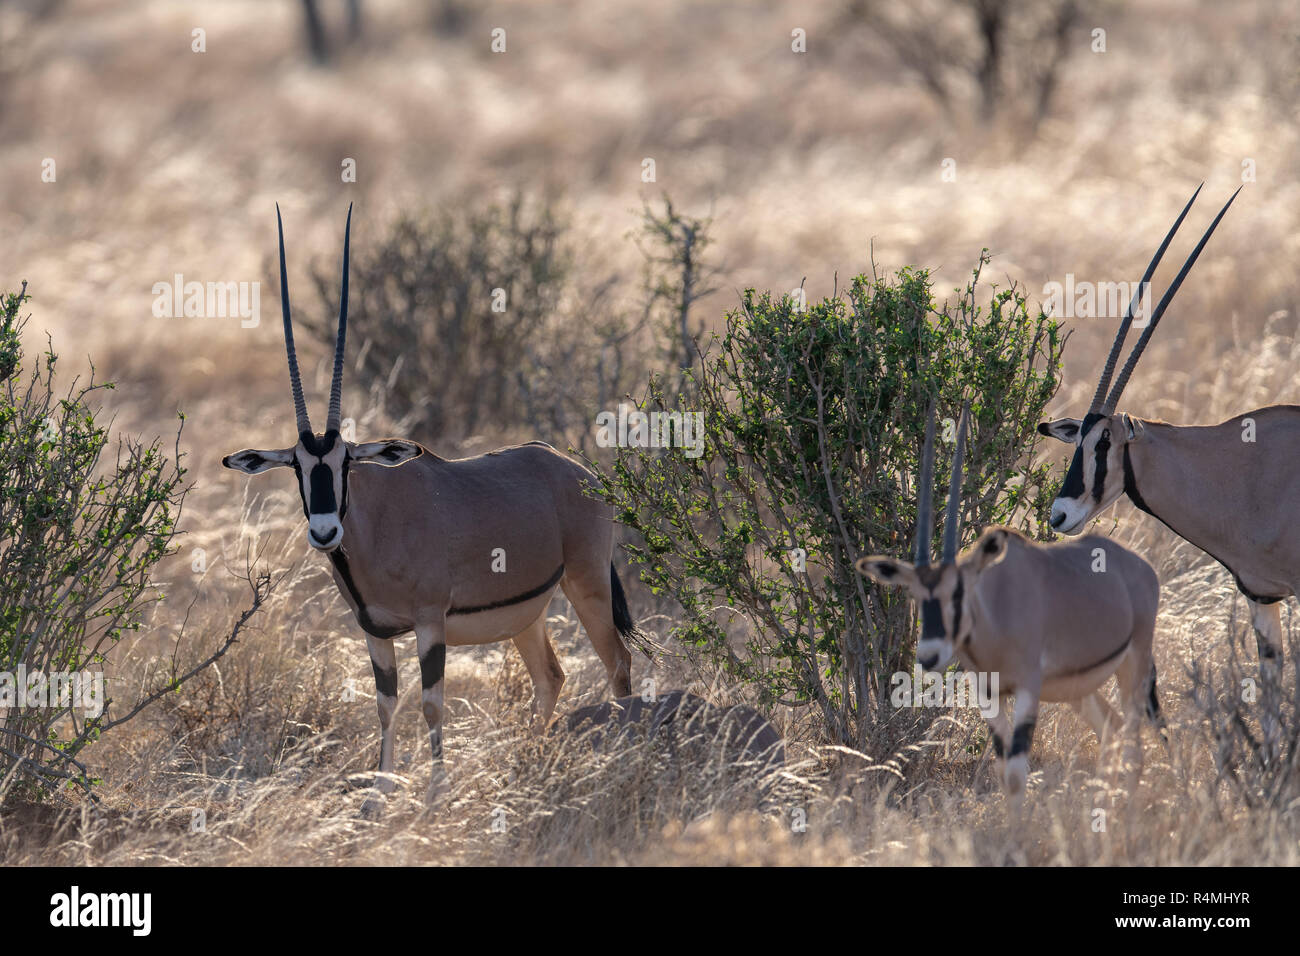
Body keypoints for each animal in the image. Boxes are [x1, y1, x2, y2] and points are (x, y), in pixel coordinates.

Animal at [226, 205, 650, 806]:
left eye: (346, 462)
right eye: (296, 466)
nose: (325, 532)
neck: (376, 525)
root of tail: (575, 472)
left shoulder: (430, 622)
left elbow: (430, 703)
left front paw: (435, 794)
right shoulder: (375, 631)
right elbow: (386, 705)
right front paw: (378, 794)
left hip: (586, 584)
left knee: (618, 664)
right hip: (526, 616)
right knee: (551, 676)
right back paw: (527, 761)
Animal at [857, 405, 1164, 801]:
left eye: (960, 591)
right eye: (914, 595)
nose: (929, 655)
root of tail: (1139, 567)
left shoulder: (1027, 691)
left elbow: (1018, 772)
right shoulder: (990, 696)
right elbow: (1006, 773)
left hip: (1133, 667)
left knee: (1133, 748)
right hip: (1080, 689)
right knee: (1112, 731)